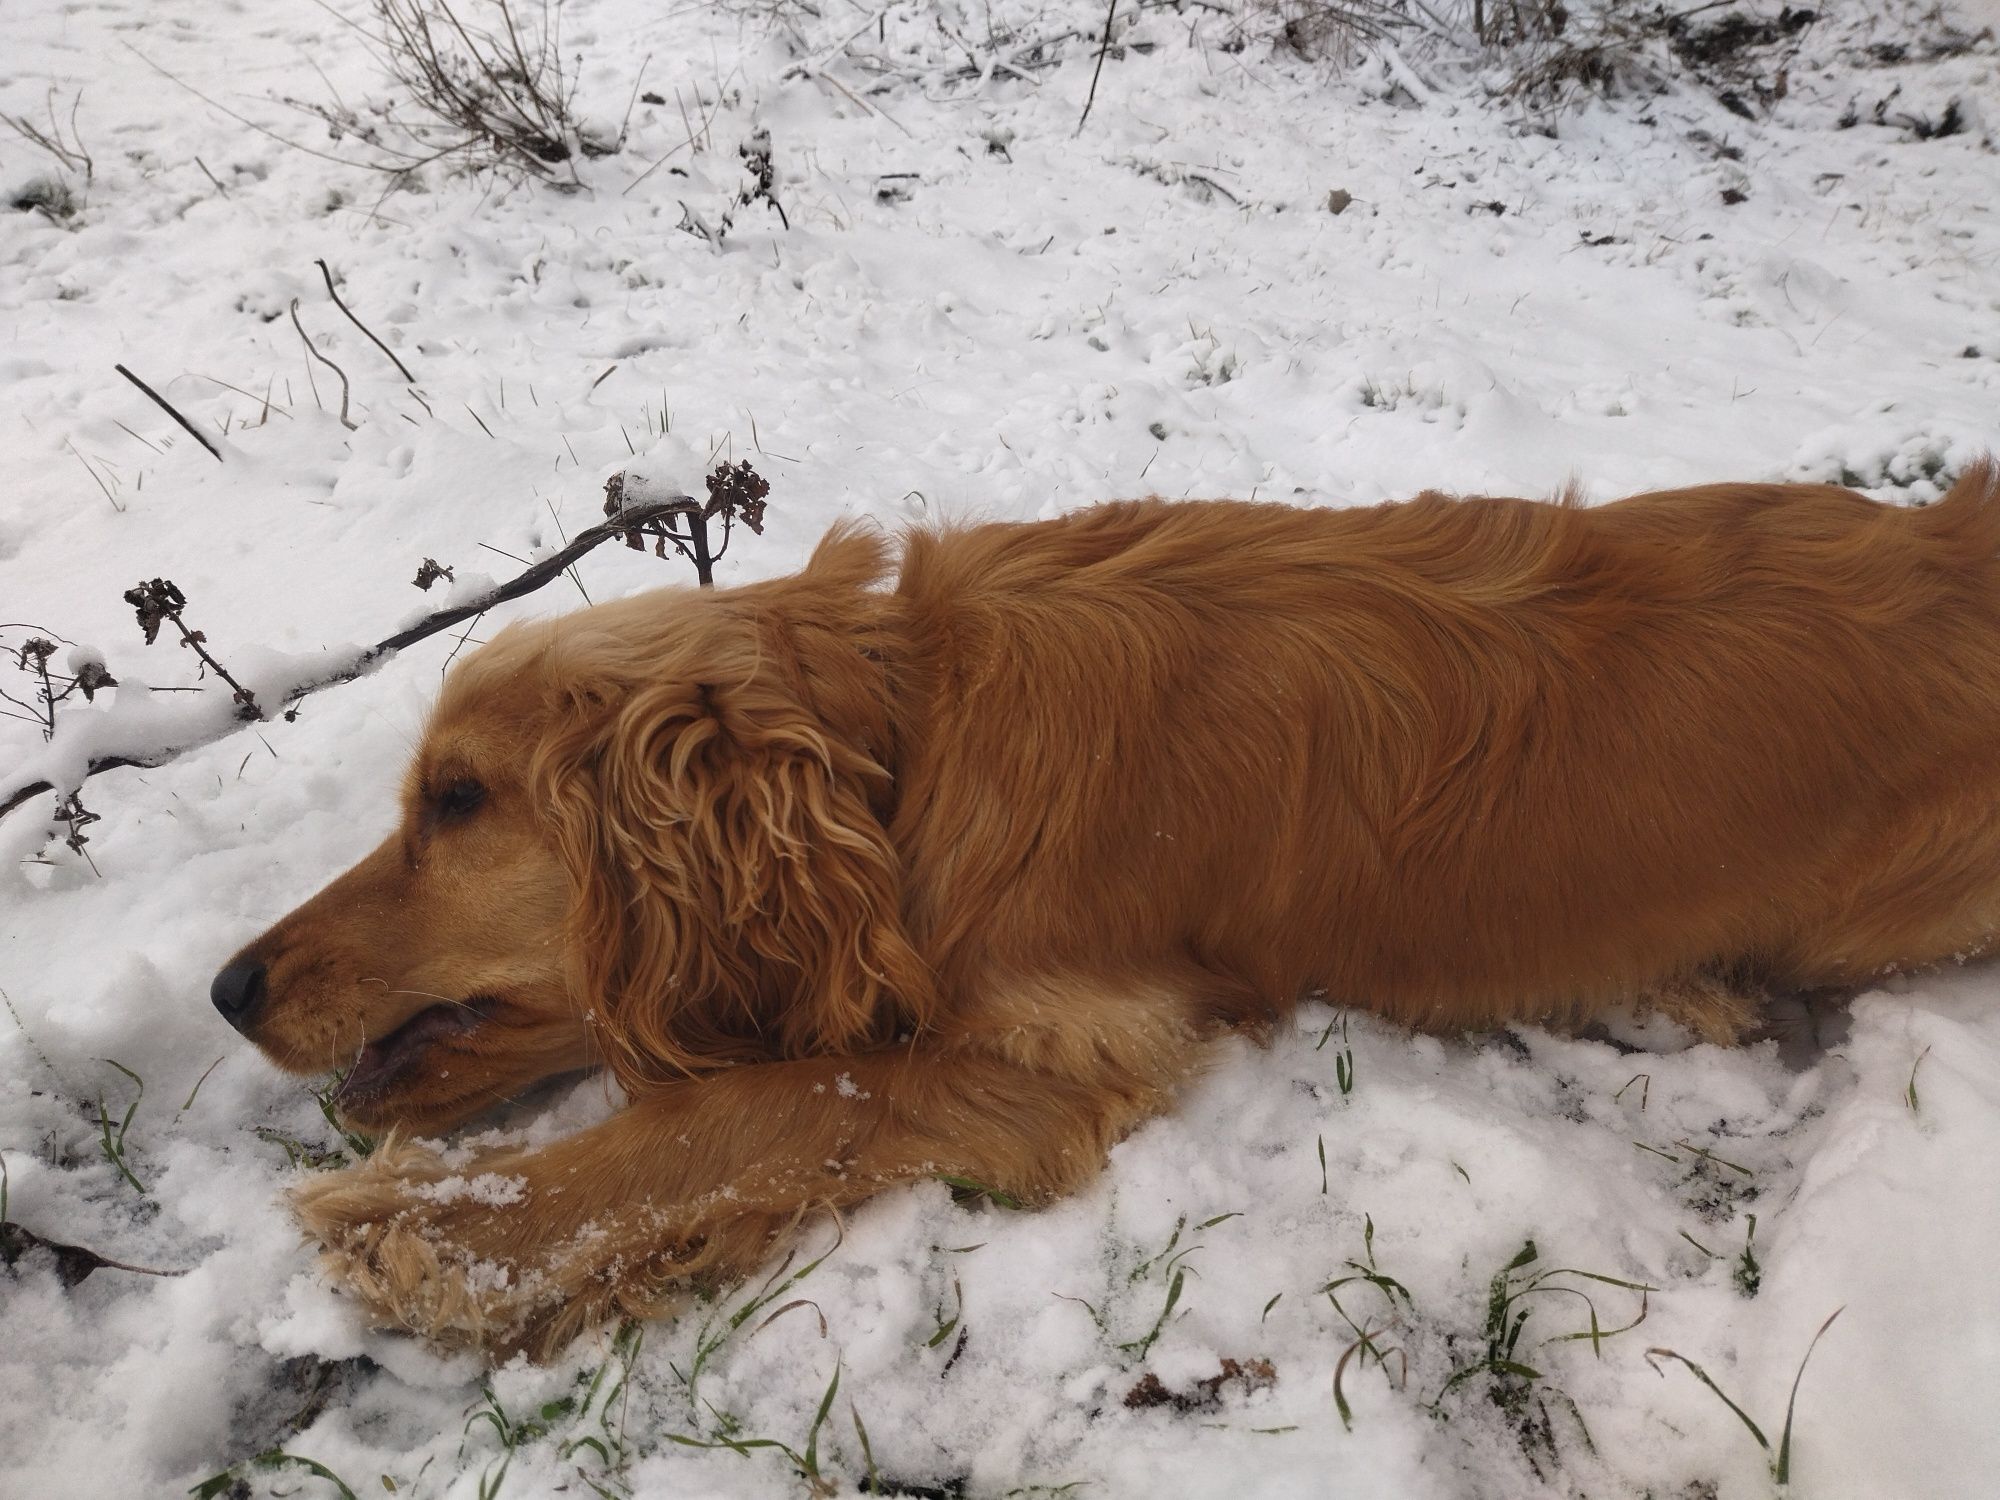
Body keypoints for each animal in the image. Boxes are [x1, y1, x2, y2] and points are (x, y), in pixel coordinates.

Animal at [211, 468, 2000, 1360]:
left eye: (457, 802)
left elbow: (767, 1103)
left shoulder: (1053, 1052)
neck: (906, 745)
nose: (228, 989)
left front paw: (439, 1226)